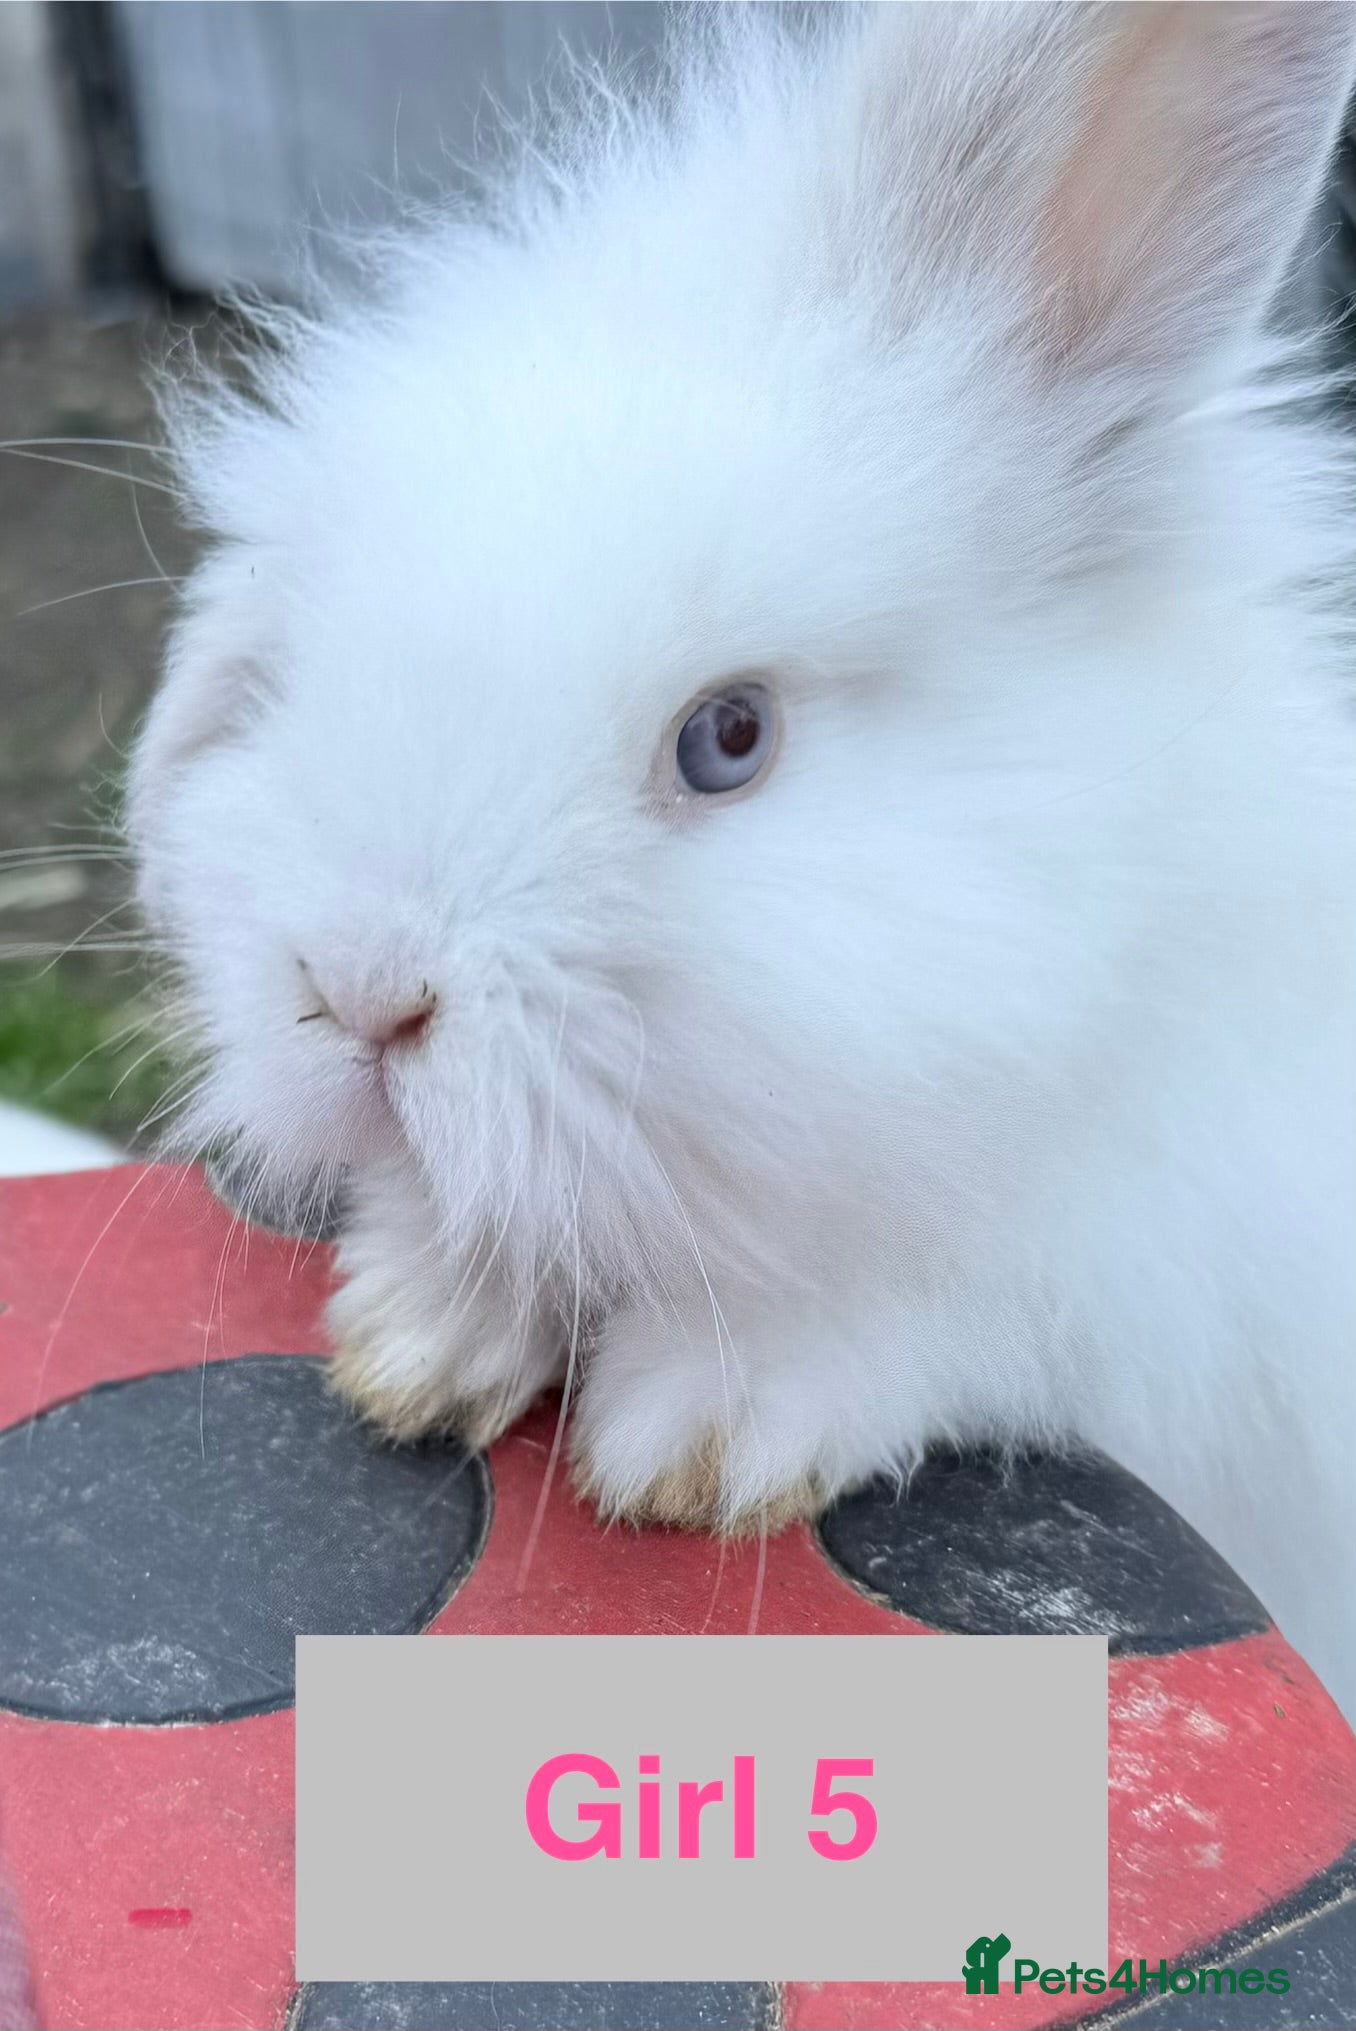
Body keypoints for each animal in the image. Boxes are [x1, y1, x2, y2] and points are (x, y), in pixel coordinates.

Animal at [128, 3, 1356, 1716]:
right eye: (304, 666)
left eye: (730, 736)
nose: (359, 994)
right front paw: (421, 1334)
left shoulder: (1162, 1282)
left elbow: (947, 1298)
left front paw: (700, 1430)